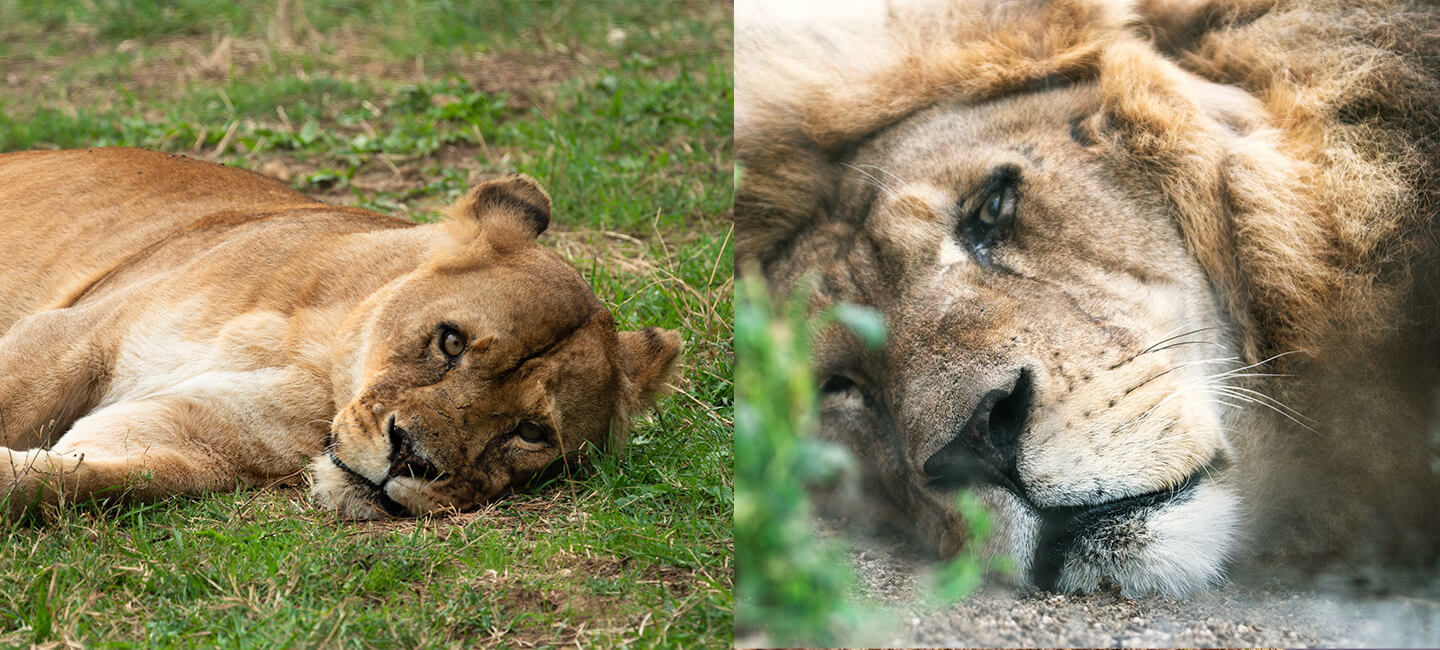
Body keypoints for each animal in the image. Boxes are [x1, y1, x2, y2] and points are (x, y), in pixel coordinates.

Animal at [0, 146, 679, 518]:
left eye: (531, 433)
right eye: (450, 342)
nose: (410, 460)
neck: (317, 363)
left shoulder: (180, 444)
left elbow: (60, 483)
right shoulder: (71, 338)